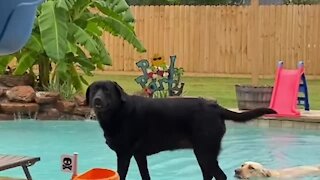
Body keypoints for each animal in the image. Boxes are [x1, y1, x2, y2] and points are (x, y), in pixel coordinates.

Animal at [86, 81, 276, 179]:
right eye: (94, 90)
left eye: (107, 91)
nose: (97, 100)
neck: (119, 112)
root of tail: (215, 106)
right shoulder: (139, 155)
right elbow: (145, 175)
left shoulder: (124, 154)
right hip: (205, 154)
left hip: (204, 152)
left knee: (220, 176)